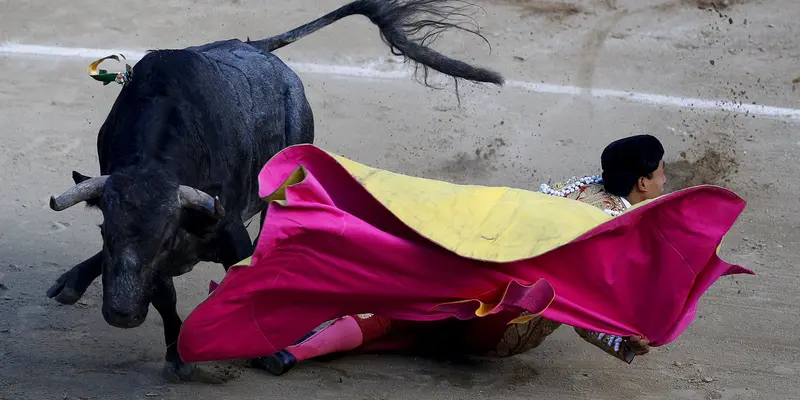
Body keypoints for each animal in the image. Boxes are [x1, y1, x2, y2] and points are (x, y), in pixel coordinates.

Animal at [45, 0, 500, 382]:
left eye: (164, 240)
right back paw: (71, 283)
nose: (121, 314)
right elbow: (166, 298)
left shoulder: (222, 229)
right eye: (105, 231)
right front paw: (177, 356)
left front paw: (268, 350)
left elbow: (244, 284)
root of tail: (259, 48)